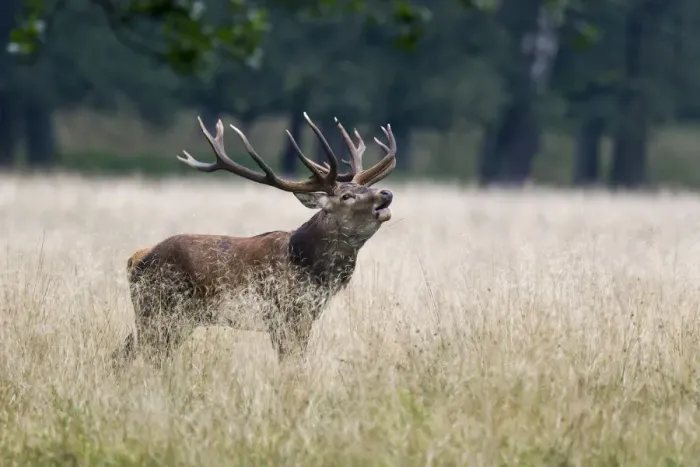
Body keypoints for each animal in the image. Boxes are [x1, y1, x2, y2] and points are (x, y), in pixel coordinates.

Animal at [112, 112, 397, 367]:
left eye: (366, 187)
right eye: (346, 196)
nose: (386, 193)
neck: (310, 268)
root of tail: (135, 259)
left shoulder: (305, 315)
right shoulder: (283, 312)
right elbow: (291, 362)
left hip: (176, 317)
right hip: (158, 308)